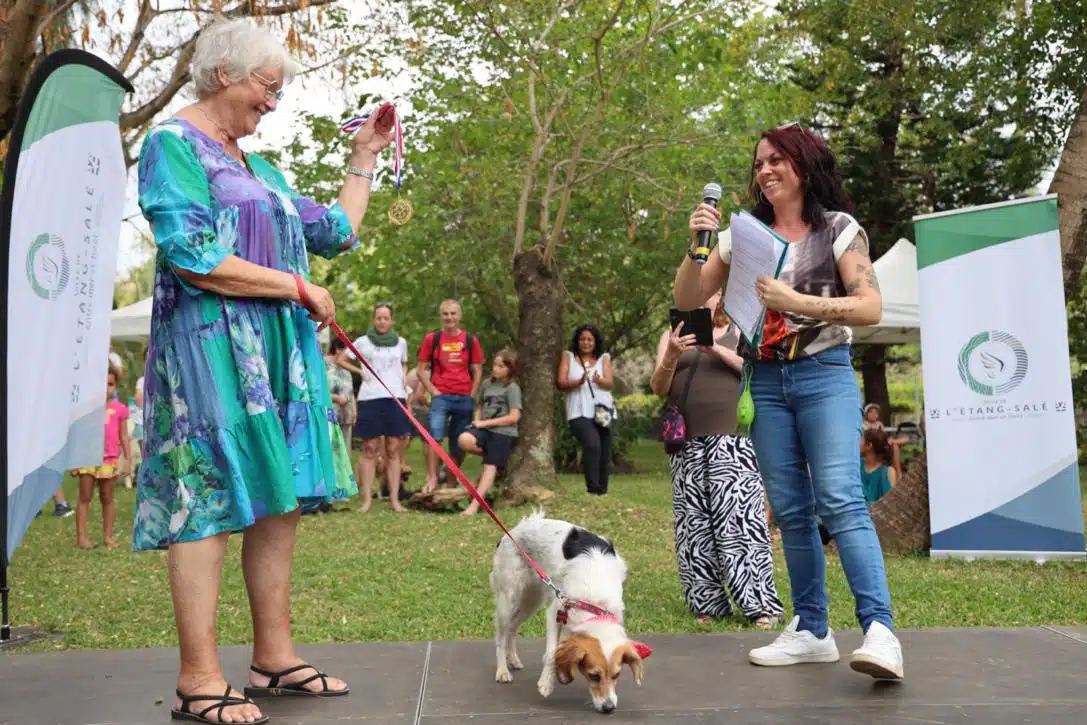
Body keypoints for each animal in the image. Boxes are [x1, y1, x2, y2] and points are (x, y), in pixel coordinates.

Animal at [493, 515, 652, 713]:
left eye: (617, 675)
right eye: (594, 676)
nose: (609, 708)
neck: (595, 604)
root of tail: (519, 527)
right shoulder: (556, 611)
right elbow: (551, 652)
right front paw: (546, 683)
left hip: (530, 601)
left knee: (513, 629)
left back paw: (513, 659)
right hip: (510, 599)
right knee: (501, 636)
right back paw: (502, 670)